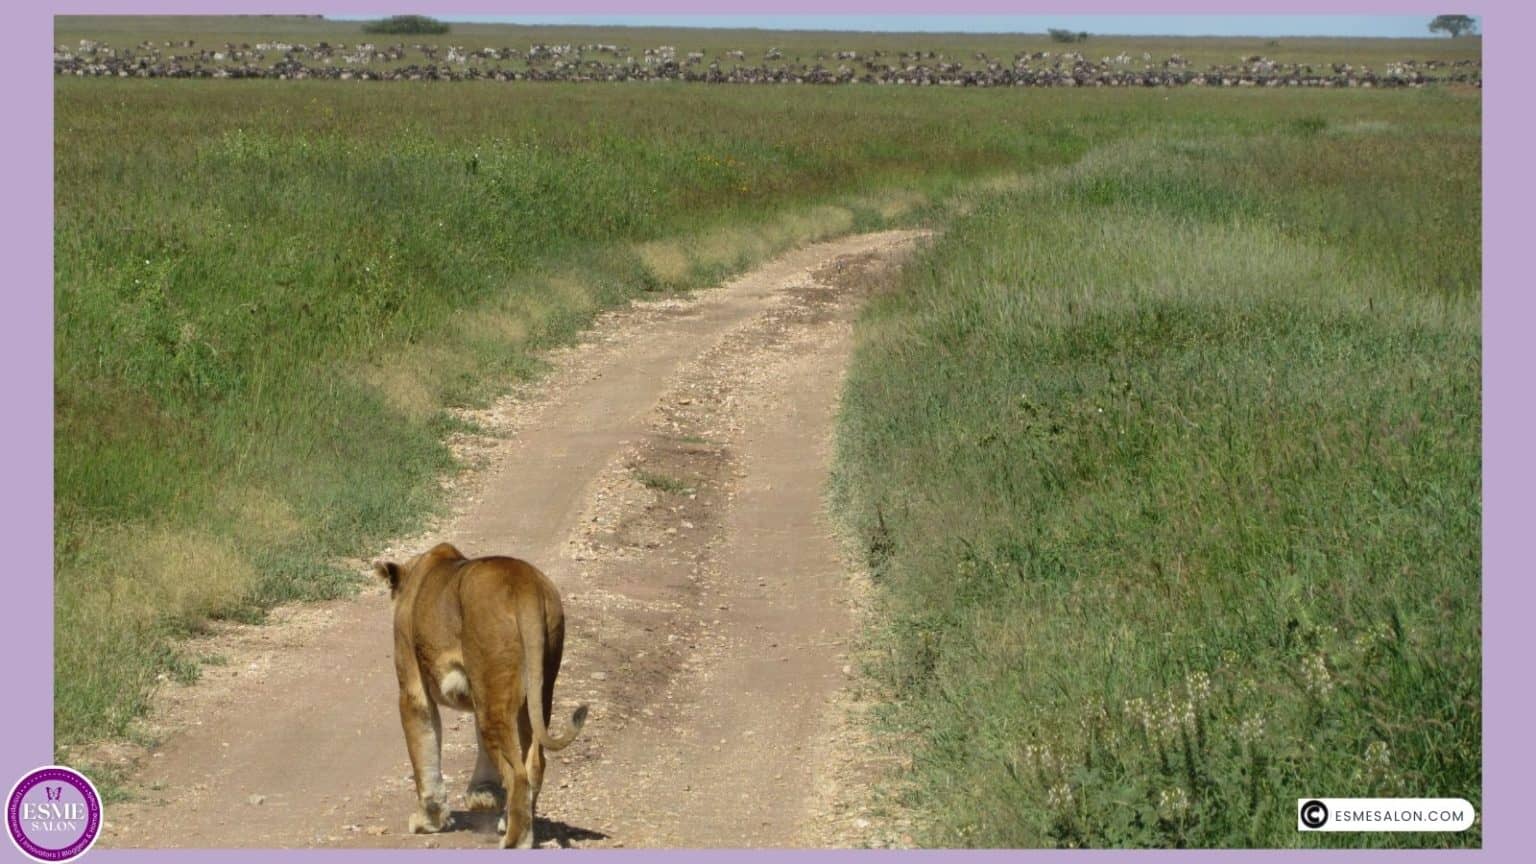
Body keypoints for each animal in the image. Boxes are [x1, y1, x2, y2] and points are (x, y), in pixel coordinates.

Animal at [374, 542, 588, 849]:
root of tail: (524, 583)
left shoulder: (412, 688)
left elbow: (424, 751)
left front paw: (429, 820)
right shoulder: (479, 688)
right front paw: (483, 795)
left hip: (493, 689)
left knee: (517, 773)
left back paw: (514, 840)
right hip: (533, 687)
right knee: (534, 763)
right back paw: (509, 821)